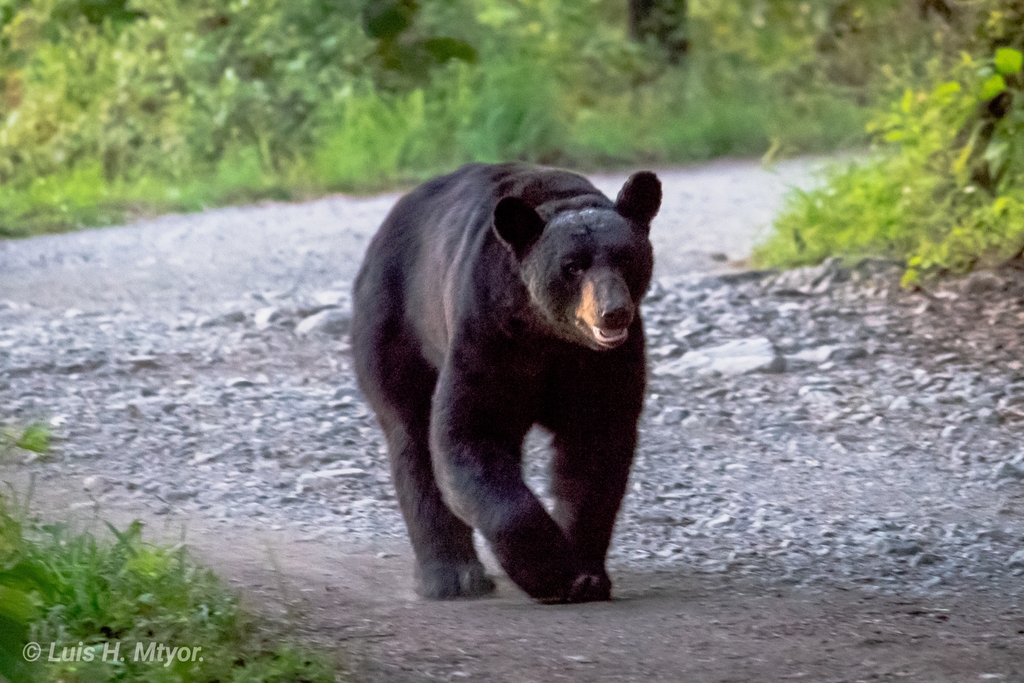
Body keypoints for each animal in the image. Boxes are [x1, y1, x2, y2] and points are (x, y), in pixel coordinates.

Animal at [351, 162, 661, 603]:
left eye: (626, 257)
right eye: (572, 266)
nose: (613, 312)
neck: (550, 336)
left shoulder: (604, 364)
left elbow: (595, 450)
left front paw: (586, 575)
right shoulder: (489, 334)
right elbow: (468, 432)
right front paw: (552, 572)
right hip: (397, 323)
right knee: (410, 433)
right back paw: (451, 577)